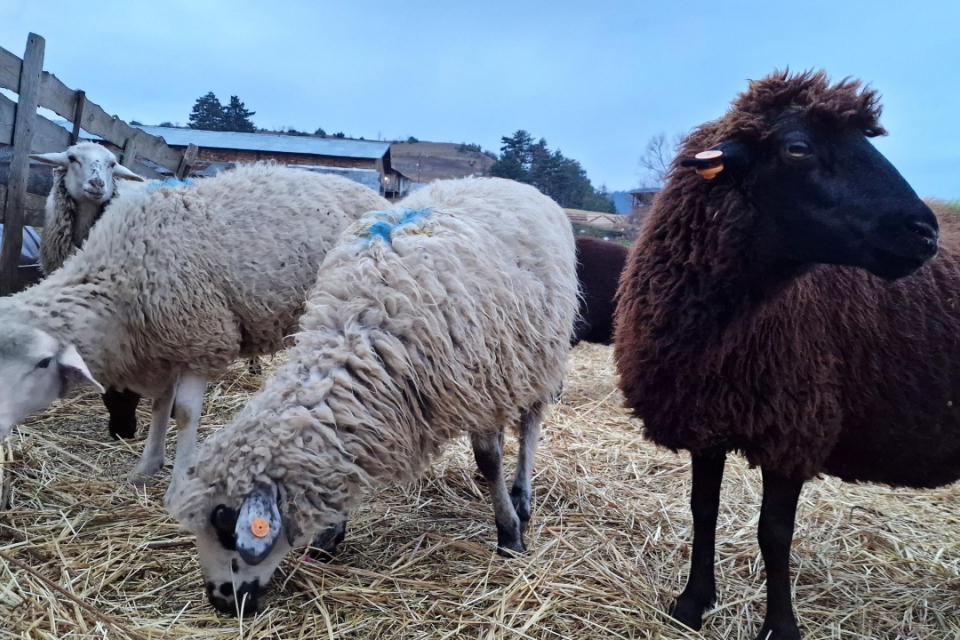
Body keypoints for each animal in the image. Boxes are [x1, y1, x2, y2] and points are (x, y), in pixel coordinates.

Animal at [0, 161, 390, 484]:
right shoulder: (163, 345)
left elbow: (185, 414)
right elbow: (160, 405)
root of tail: (375, 194)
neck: (119, 276)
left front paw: (180, 478)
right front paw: (146, 467)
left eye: (43, 362)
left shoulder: (202, 337)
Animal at [165, 175, 576, 616]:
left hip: (539, 357)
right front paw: (330, 533)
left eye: (226, 528)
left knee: (530, 426)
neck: (361, 330)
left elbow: (489, 461)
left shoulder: (480, 386)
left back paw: (522, 498)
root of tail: (500, 179)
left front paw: (509, 534)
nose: (221, 602)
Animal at [616, 67, 944, 636]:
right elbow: (702, 509)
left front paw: (780, 627)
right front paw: (692, 604)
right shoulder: (706, 417)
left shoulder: (794, 424)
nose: (925, 233)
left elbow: (774, 534)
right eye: (797, 148)